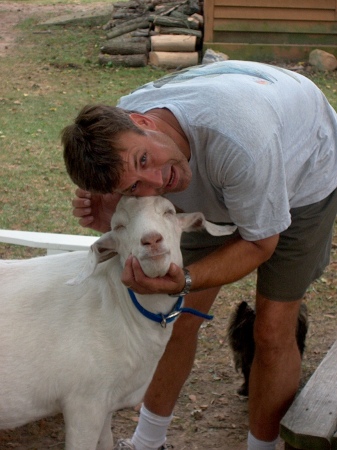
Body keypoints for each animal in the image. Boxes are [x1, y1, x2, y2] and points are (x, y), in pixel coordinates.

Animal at [0, 197, 235, 450]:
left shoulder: (106, 403)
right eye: (120, 226)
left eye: (169, 213)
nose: (151, 240)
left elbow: (106, 442)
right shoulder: (84, 403)